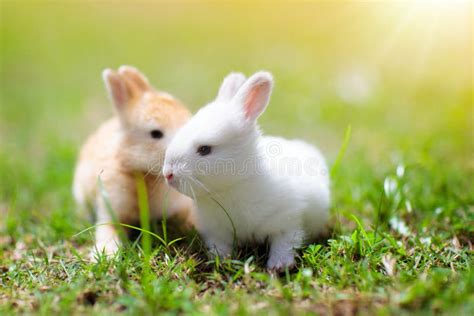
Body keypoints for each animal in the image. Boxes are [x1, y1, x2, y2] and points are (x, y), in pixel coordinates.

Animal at [163, 72, 330, 272]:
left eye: (205, 149)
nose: (168, 173)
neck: (234, 186)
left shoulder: (289, 221)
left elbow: (284, 243)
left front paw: (279, 266)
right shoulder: (217, 231)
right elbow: (220, 245)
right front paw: (221, 260)